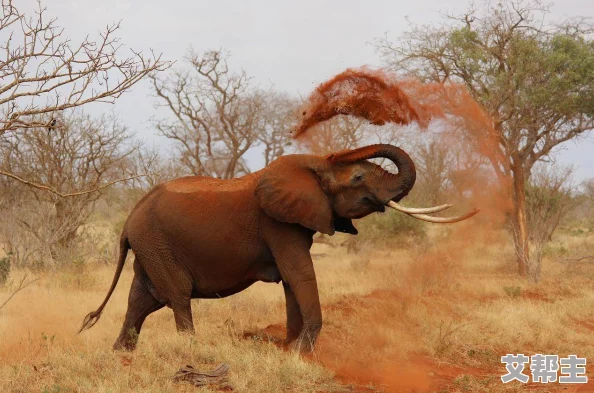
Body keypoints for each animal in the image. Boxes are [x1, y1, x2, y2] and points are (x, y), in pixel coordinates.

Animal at [80, 144, 476, 352]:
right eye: (359, 177)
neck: (314, 165)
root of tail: (129, 219)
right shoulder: (278, 224)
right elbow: (299, 273)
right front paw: (302, 351)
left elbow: (291, 280)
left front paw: (290, 347)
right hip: (157, 243)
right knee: (176, 296)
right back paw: (191, 349)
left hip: (150, 246)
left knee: (141, 299)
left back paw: (121, 355)